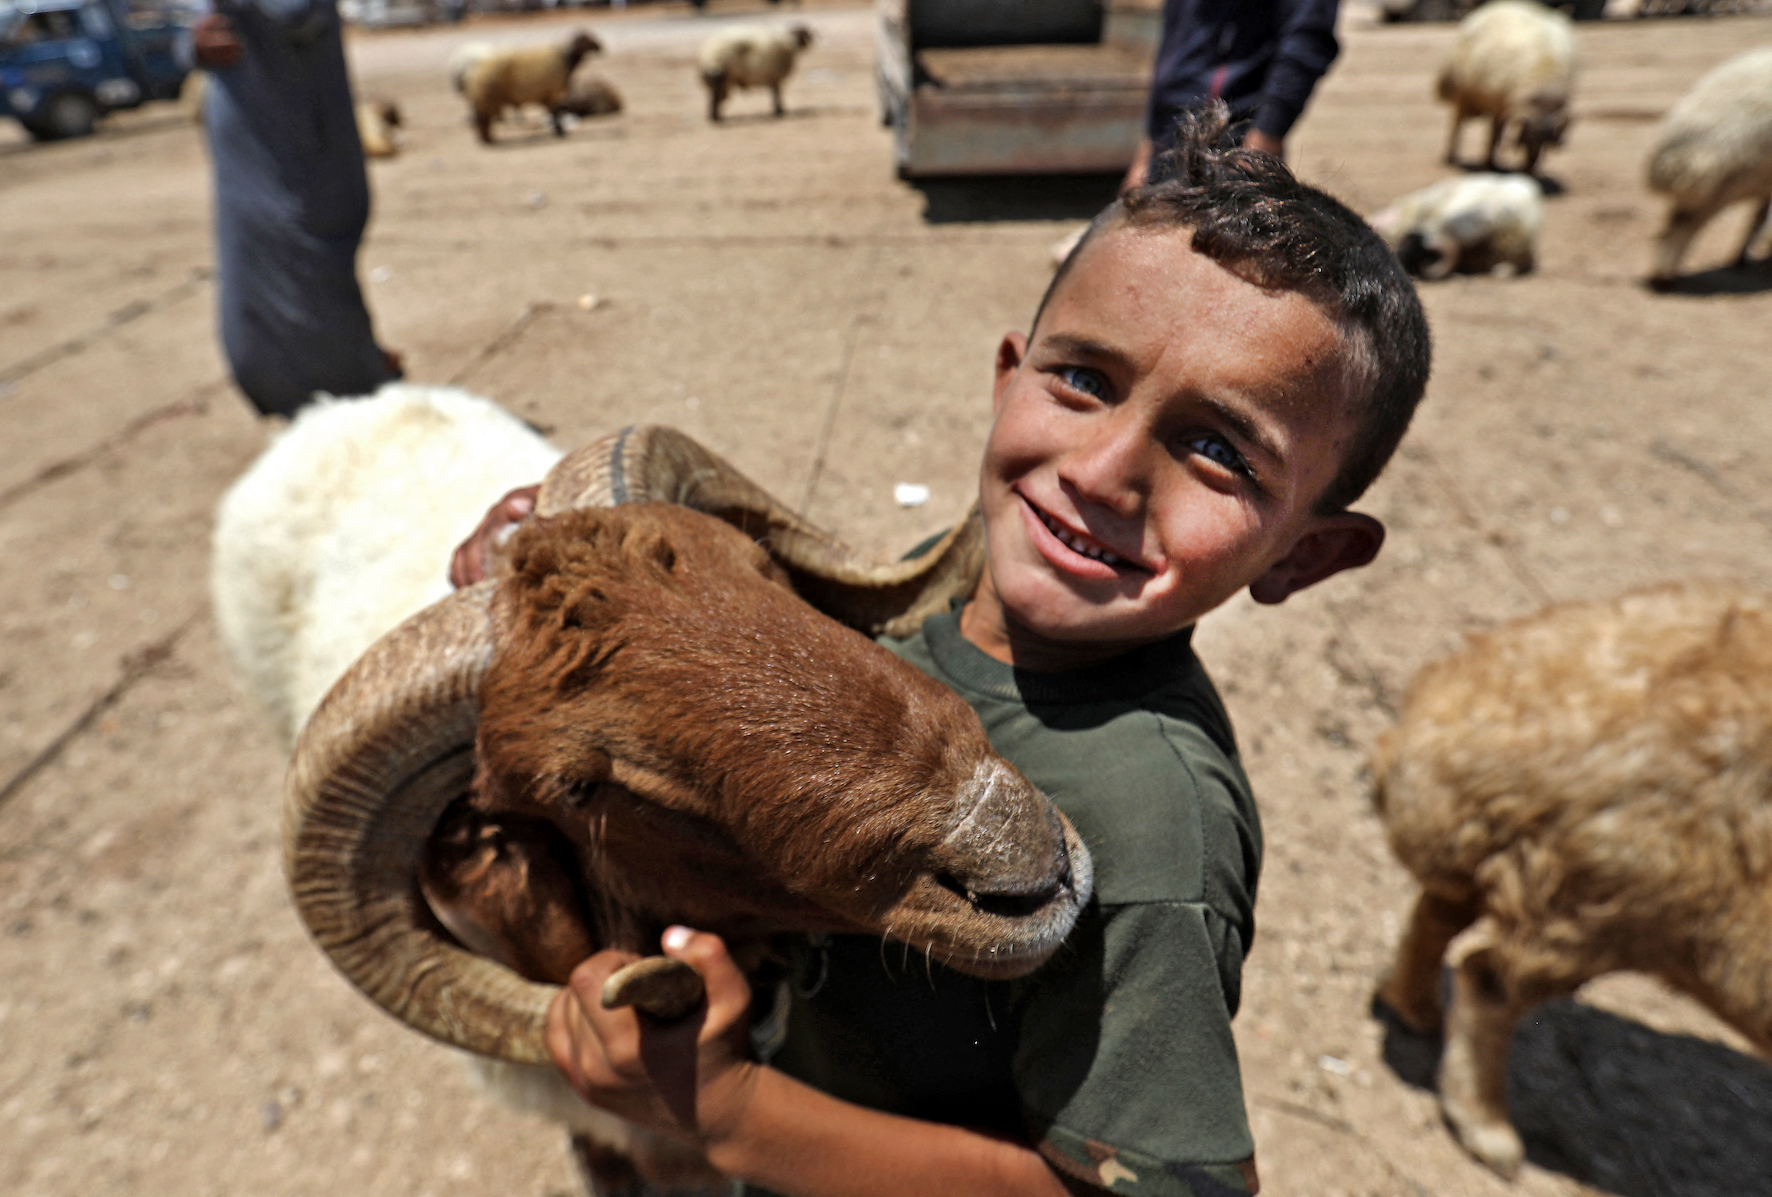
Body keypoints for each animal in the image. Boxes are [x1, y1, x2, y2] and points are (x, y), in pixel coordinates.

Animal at [456, 30, 603, 144]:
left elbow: (553, 113)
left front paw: (559, 131)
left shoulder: (547, 95)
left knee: (481, 120)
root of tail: (470, 74)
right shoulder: (552, 93)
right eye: (586, 38)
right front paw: (560, 132)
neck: (565, 58)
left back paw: (488, 139)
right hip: (485, 100)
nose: (600, 46)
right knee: (481, 120)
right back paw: (487, 140)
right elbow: (555, 113)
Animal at [1436, 0, 1575, 176]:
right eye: (1527, 138)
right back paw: (1451, 157)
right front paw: (1487, 166)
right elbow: (1493, 138)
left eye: (1546, 143)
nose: (1528, 170)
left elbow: (1499, 137)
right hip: (1464, 94)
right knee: (1457, 125)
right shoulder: (1498, 106)